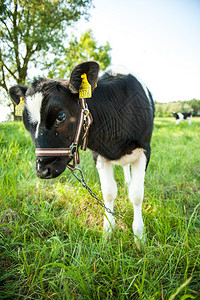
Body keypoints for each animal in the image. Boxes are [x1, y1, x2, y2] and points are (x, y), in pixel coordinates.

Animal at [9, 61, 155, 244]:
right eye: (26, 122)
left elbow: (136, 195)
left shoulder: (144, 150)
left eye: (61, 116)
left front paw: (139, 236)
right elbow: (108, 192)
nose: (42, 170)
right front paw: (108, 231)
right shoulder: (98, 155)